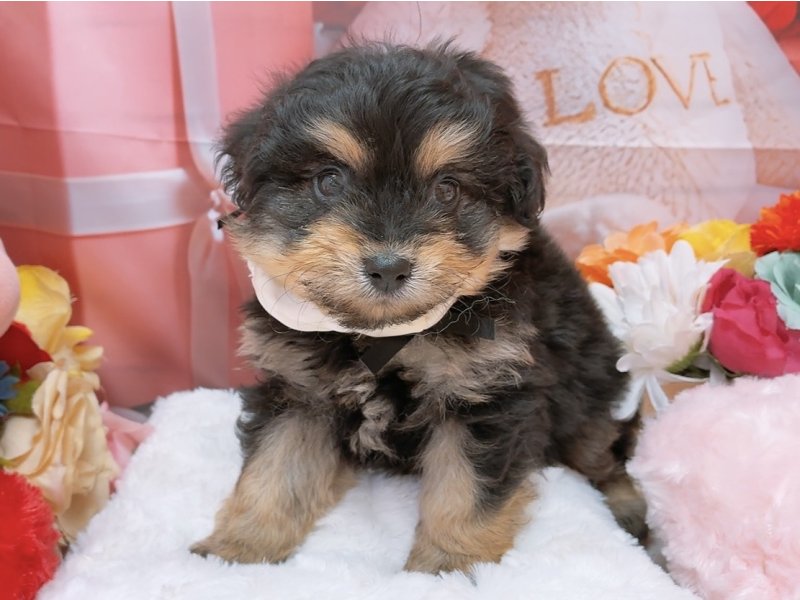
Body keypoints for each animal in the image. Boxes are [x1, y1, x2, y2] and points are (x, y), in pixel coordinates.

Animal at [191, 42, 645, 575]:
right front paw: (239, 550)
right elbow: (276, 467)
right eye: (329, 181)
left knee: (603, 450)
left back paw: (631, 511)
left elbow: (465, 491)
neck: (381, 335)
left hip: (586, 390)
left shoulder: (484, 391)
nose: (388, 267)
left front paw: (445, 566)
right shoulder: (298, 388)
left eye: (447, 188)